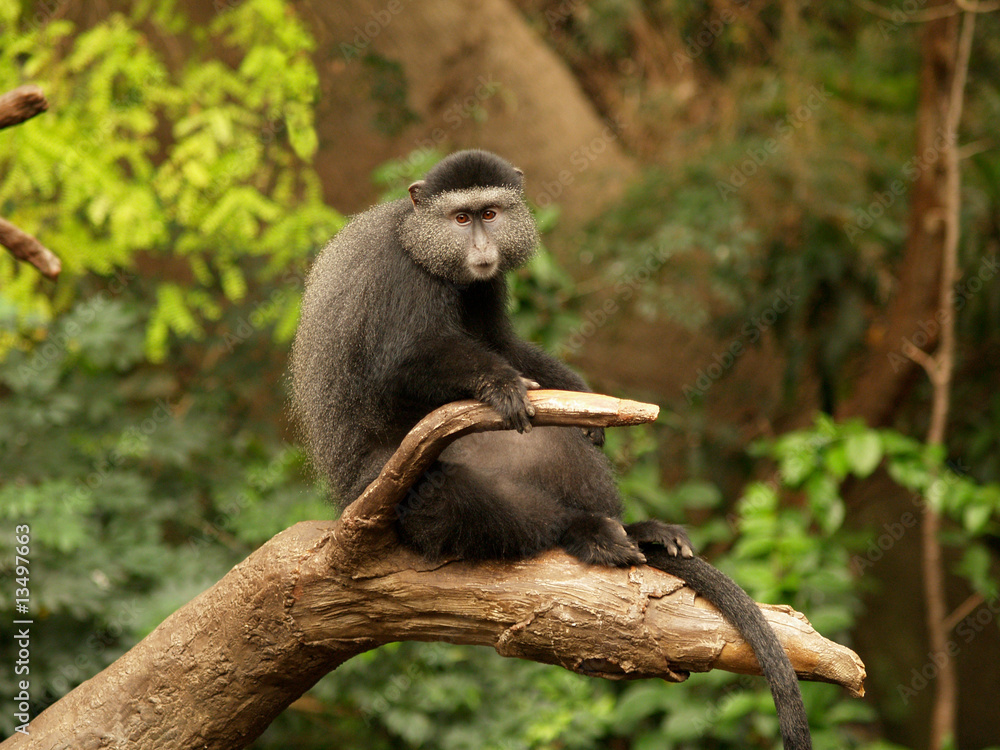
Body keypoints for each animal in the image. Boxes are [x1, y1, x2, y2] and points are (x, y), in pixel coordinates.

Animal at [290, 150, 811, 750]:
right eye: (461, 219)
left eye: (491, 214)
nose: (482, 248)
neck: (420, 239)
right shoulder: (402, 280)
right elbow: (402, 365)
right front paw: (497, 383)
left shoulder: (484, 286)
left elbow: (504, 345)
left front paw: (578, 394)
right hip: (387, 486)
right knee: (461, 500)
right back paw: (583, 534)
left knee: (557, 443)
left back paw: (632, 531)